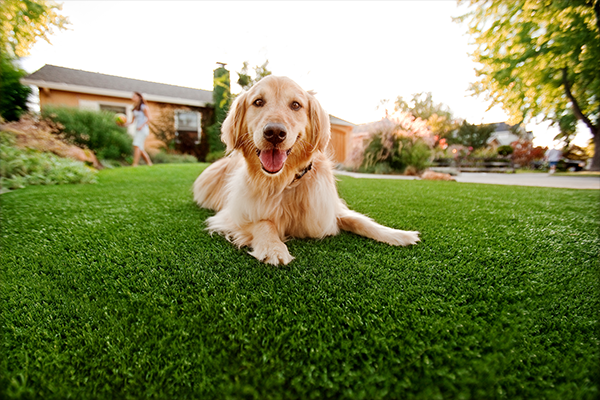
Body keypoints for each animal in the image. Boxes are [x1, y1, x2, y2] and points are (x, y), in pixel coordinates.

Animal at [192, 76, 418, 264]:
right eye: (258, 102)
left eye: (295, 105)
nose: (275, 133)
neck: (285, 181)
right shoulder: (232, 215)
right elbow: (264, 222)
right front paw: (273, 248)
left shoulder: (327, 209)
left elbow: (359, 220)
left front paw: (398, 234)